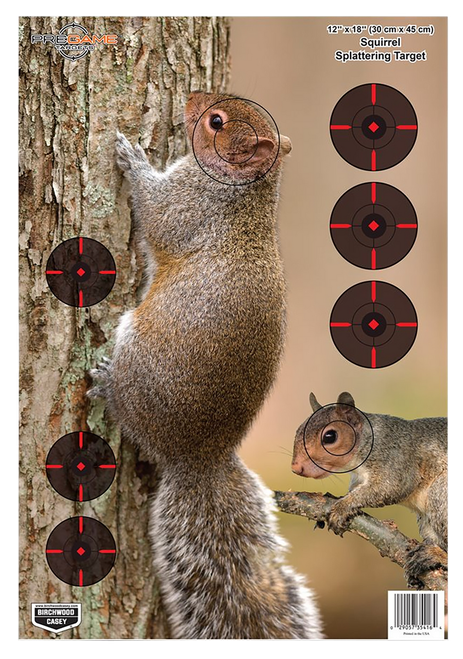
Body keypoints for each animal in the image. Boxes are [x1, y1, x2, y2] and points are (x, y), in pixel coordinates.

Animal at [89, 92, 322, 639]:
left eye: (217, 121)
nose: (192, 100)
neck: (246, 192)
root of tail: (199, 456)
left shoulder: (187, 206)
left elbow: (155, 212)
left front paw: (132, 157)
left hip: (139, 357)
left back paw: (106, 385)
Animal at [291, 391, 448, 586]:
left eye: (329, 436)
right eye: (298, 430)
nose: (296, 467)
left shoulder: (396, 460)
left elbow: (390, 487)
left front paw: (342, 507)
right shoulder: (358, 478)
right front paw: (336, 500)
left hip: (441, 494)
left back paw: (436, 556)